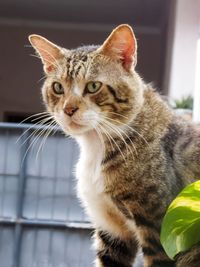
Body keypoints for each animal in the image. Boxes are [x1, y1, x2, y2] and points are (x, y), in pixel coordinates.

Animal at [28, 24, 200, 266]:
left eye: (93, 86)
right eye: (58, 87)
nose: (68, 109)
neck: (96, 147)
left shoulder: (159, 226)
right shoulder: (112, 229)